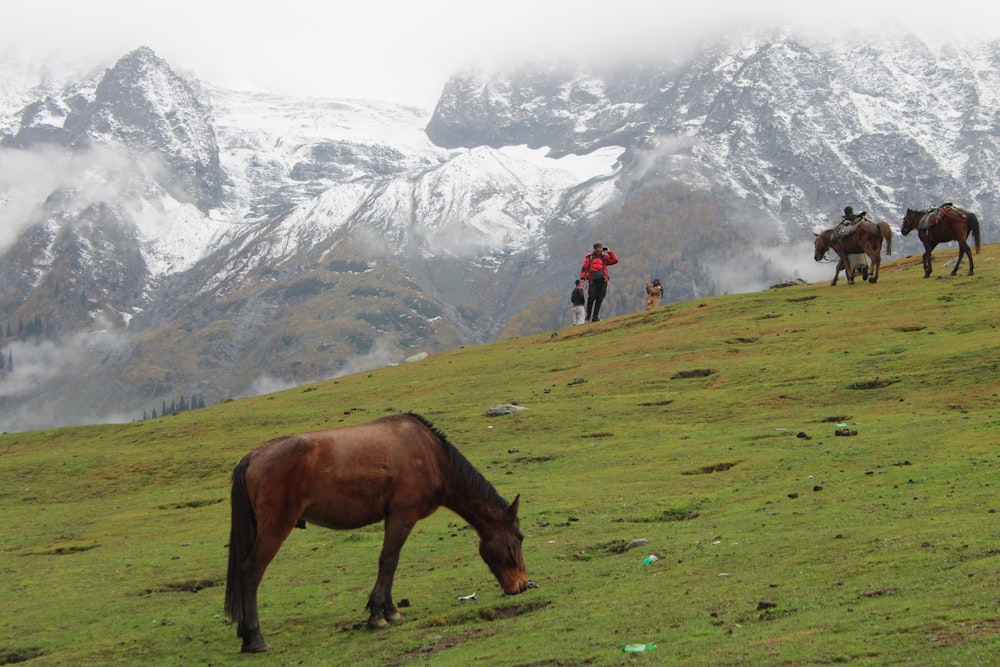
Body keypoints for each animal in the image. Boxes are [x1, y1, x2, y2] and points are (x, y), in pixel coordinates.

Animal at [224, 412, 536, 652]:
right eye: (518, 539)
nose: (522, 585)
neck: (432, 456)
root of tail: (252, 457)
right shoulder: (401, 517)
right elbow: (389, 561)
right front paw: (381, 614)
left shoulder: (394, 518)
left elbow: (388, 562)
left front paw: (388, 610)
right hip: (276, 527)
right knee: (251, 571)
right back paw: (255, 638)